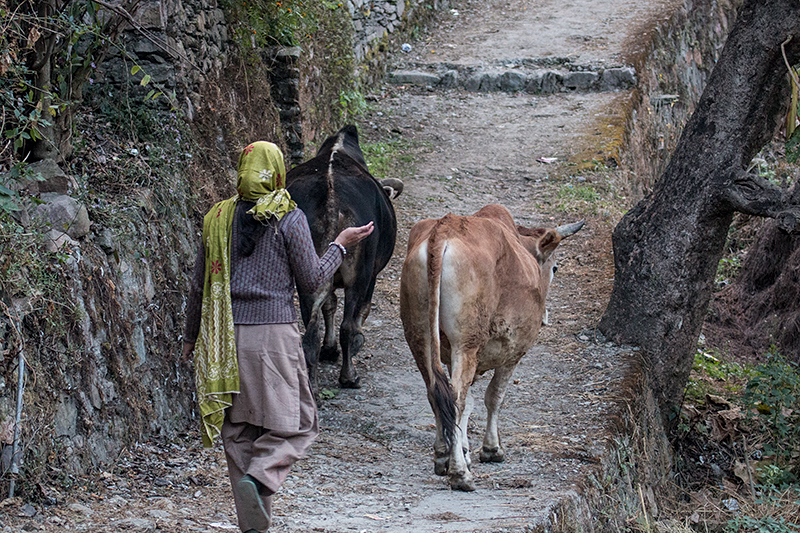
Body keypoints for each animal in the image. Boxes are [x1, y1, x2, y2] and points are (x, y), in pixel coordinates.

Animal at [286, 123, 404, 390]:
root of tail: (330, 200)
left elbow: (329, 305)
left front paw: (329, 350)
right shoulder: (371, 275)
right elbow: (363, 310)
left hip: (307, 275)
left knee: (312, 327)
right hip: (359, 275)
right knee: (347, 325)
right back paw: (350, 376)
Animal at [398, 204, 580, 490]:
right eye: (555, 268)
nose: (546, 317)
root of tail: (444, 230)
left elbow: (470, 402)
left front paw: (462, 451)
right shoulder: (514, 349)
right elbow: (493, 397)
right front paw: (490, 449)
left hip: (419, 337)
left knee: (437, 393)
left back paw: (442, 457)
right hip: (467, 343)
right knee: (456, 398)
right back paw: (460, 474)